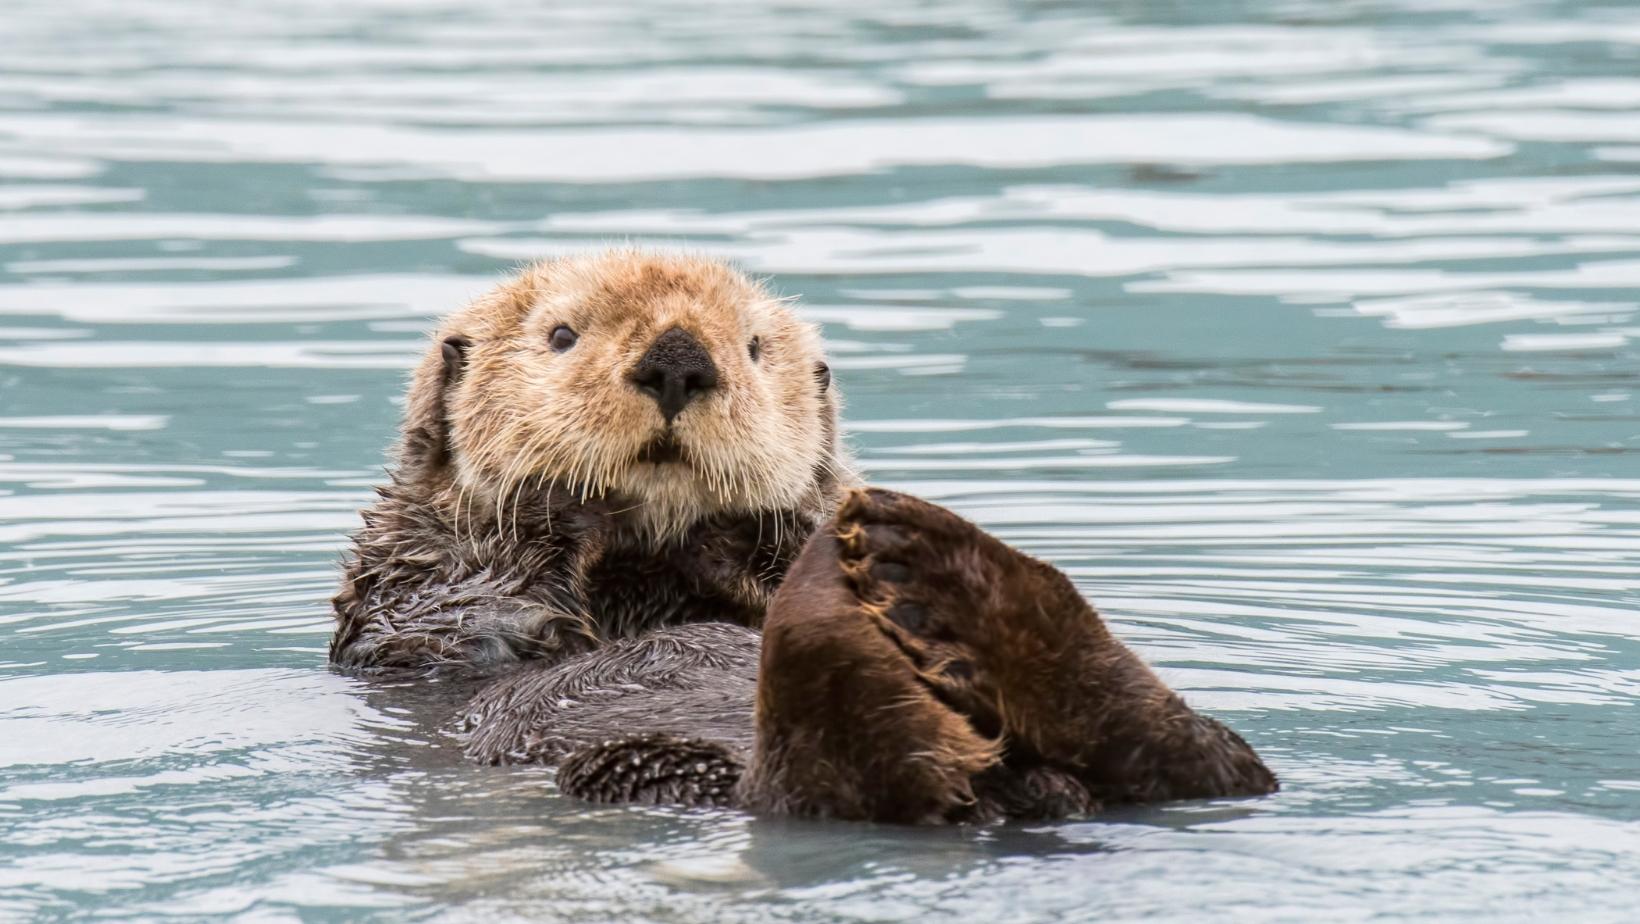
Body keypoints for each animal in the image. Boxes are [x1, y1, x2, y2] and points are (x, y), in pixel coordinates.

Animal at [332, 251, 1279, 823]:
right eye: (561, 335)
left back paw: (939, 575)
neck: (649, 569)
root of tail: (1002, 791)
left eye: (753, 347)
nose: (679, 358)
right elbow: (466, 616)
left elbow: (774, 542)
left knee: (1209, 762)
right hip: (648, 766)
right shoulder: (410, 584)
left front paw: (768, 537)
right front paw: (565, 507)